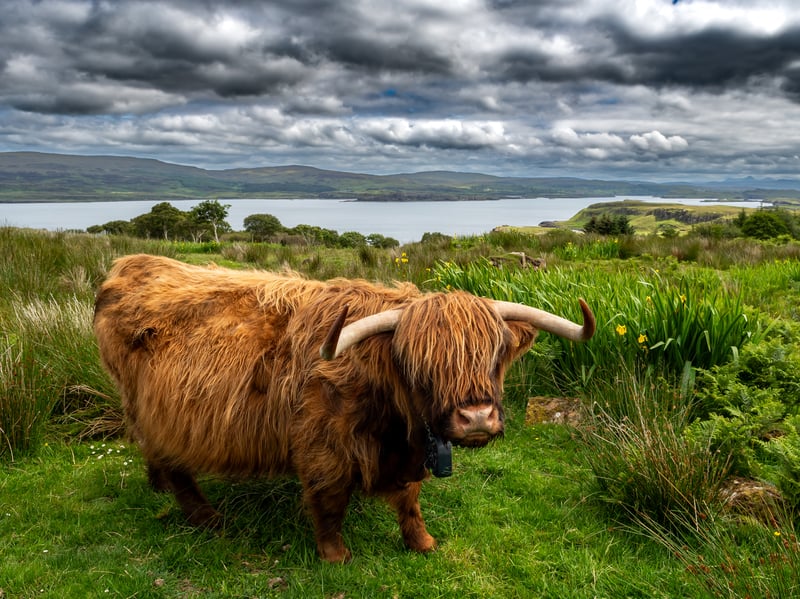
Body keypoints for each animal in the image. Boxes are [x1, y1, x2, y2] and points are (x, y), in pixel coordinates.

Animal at [93, 253, 594, 563]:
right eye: (419, 364)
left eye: (494, 355)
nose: (475, 419)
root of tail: (129, 266)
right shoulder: (322, 447)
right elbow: (329, 500)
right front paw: (335, 555)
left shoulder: (408, 451)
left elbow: (411, 500)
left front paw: (422, 542)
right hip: (152, 409)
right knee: (170, 458)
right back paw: (206, 517)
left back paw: (158, 486)